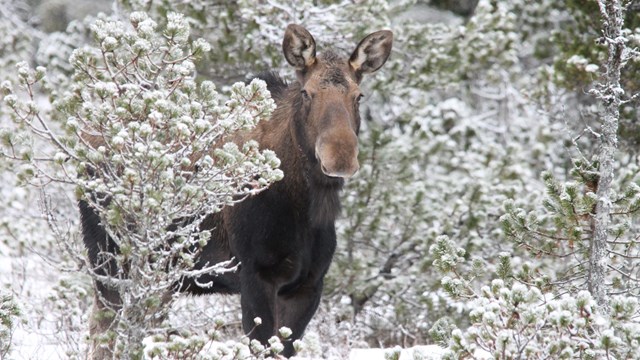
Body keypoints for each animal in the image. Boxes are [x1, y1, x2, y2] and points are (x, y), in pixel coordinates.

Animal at [82, 23, 392, 358]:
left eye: (358, 96)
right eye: (307, 93)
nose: (340, 157)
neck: (306, 209)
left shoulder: (309, 285)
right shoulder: (255, 275)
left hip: (162, 276)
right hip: (109, 260)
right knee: (103, 332)